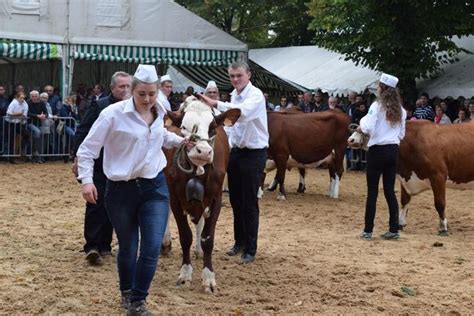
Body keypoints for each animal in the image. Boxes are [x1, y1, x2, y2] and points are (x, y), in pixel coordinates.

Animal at [164, 97, 241, 294]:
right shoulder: (175, 198)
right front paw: (185, 274)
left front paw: (209, 278)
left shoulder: (216, 199)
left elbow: (208, 238)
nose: (203, 151)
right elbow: (185, 236)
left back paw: (198, 250)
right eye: (183, 127)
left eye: (212, 127)